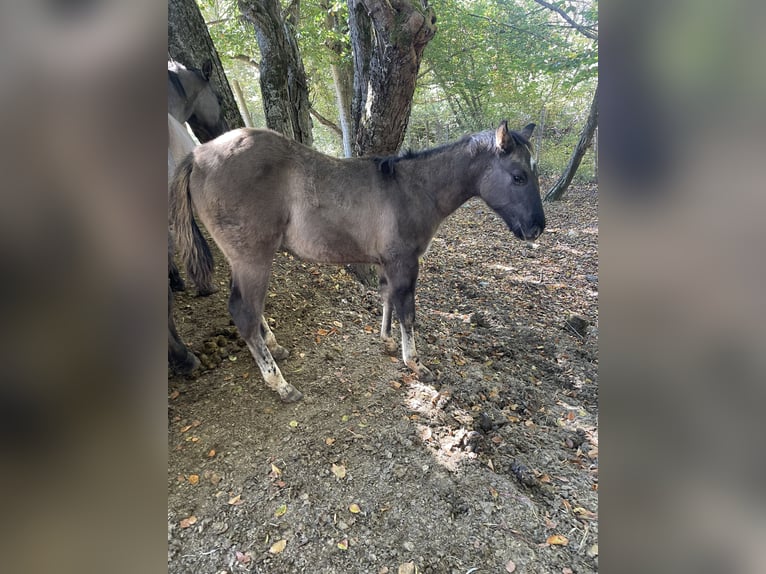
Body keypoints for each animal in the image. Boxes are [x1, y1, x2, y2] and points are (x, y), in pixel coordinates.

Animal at [169, 121, 545, 401]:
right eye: (518, 176)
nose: (536, 228)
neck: (412, 188)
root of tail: (198, 154)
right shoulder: (405, 263)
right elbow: (407, 311)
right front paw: (415, 363)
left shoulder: (386, 263)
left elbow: (386, 298)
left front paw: (387, 341)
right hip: (253, 257)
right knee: (244, 312)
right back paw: (281, 384)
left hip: (244, 260)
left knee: (249, 308)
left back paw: (275, 348)